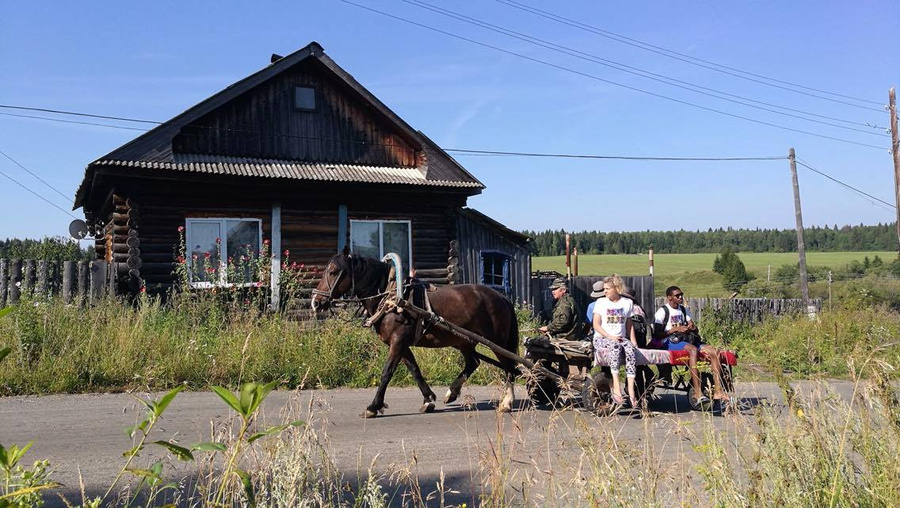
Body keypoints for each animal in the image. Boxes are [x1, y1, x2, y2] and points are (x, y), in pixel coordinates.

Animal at [312, 248, 516, 418]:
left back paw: (506, 402)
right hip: (463, 341)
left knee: (509, 367)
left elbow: (387, 373)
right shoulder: (401, 344)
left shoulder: (398, 342)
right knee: (474, 362)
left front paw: (373, 407)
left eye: (333, 271)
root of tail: (501, 297)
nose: (315, 302)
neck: (393, 299)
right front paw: (428, 400)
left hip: (497, 341)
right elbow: (414, 370)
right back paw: (452, 392)